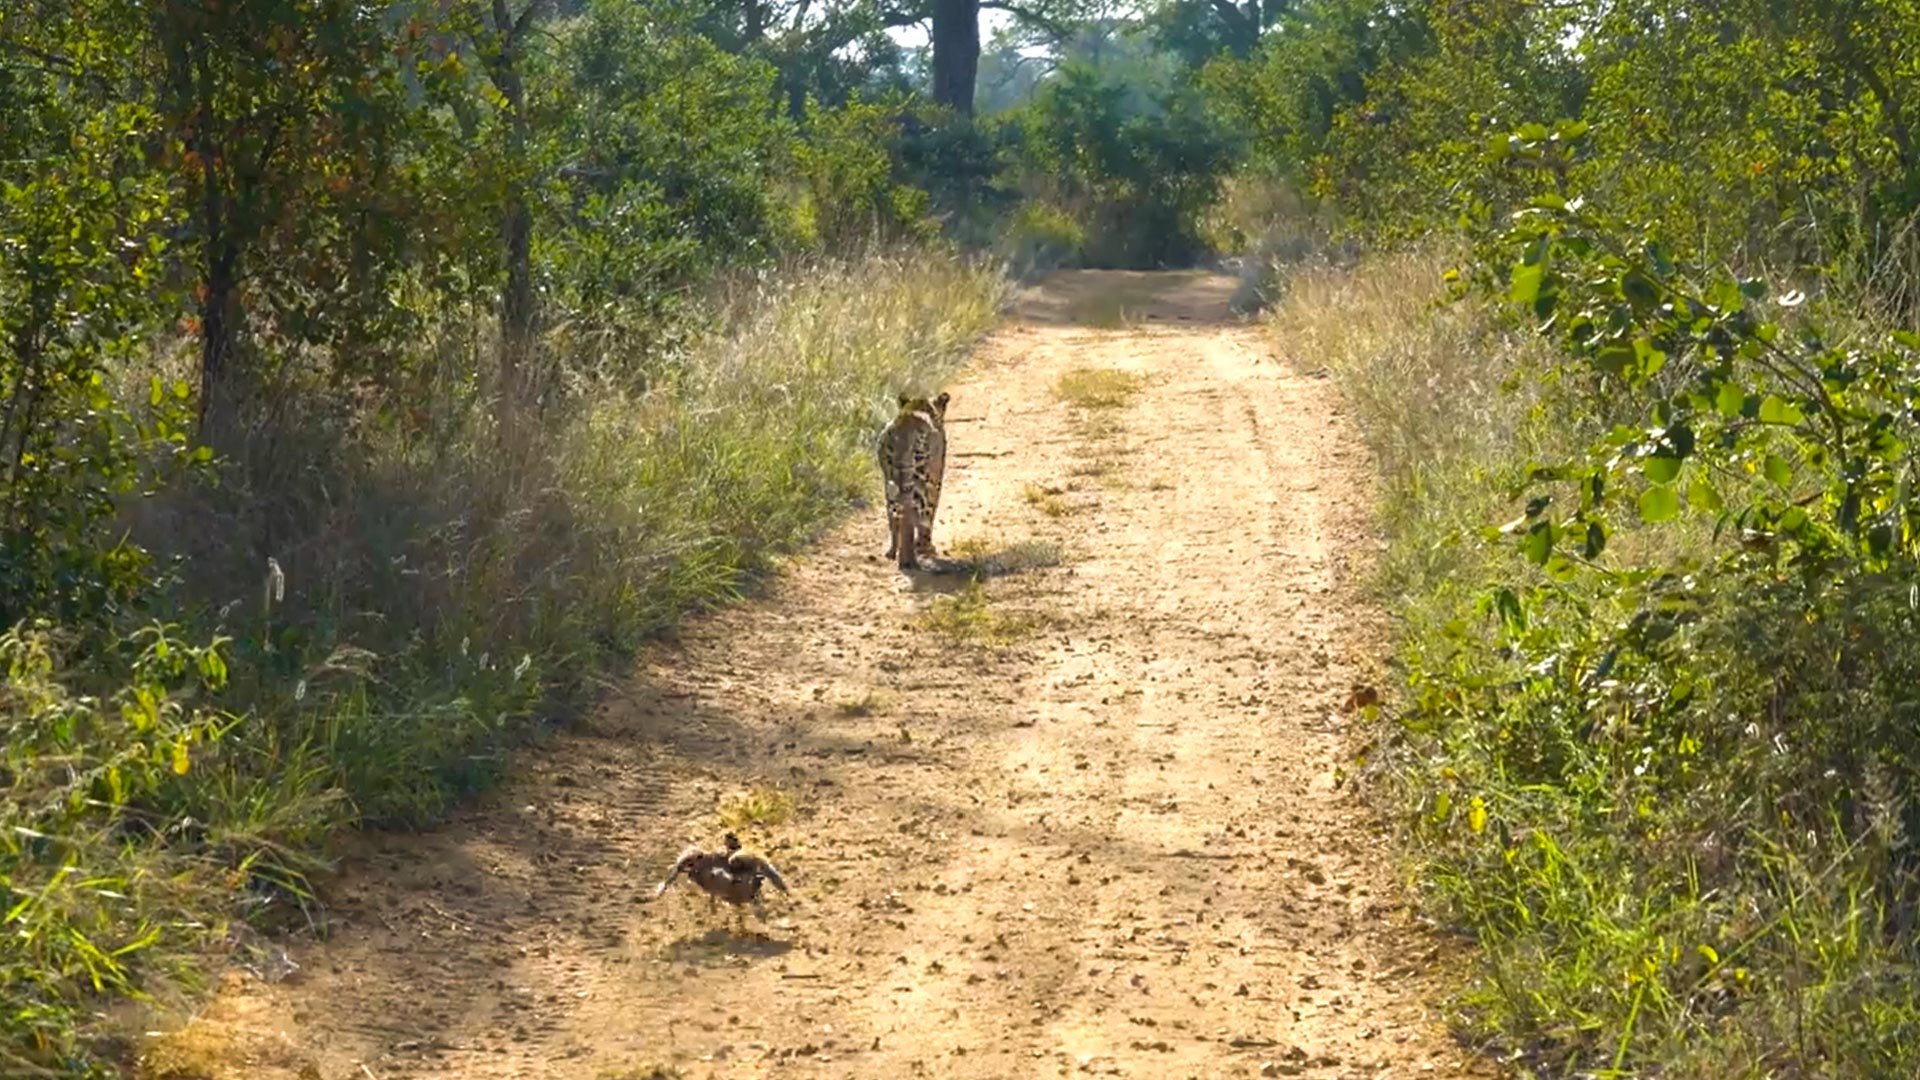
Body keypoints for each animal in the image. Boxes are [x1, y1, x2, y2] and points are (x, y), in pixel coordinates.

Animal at [877, 391, 950, 570]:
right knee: (917, 514)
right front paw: (925, 548)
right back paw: (914, 555)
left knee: (895, 515)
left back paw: (895, 553)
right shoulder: (935, 481)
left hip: (891, 480)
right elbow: (929, 516)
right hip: (923, 479)